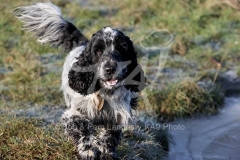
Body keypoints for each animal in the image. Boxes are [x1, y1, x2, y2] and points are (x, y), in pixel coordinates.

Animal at [14, 2, 145, 160]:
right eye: (98, 51)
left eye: (121, 48)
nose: (110, 69)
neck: (103, 93)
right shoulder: (74, 114)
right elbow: (83, 130)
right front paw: (88, 151)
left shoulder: (117, 116)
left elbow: (109, 136)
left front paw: (106, 152)